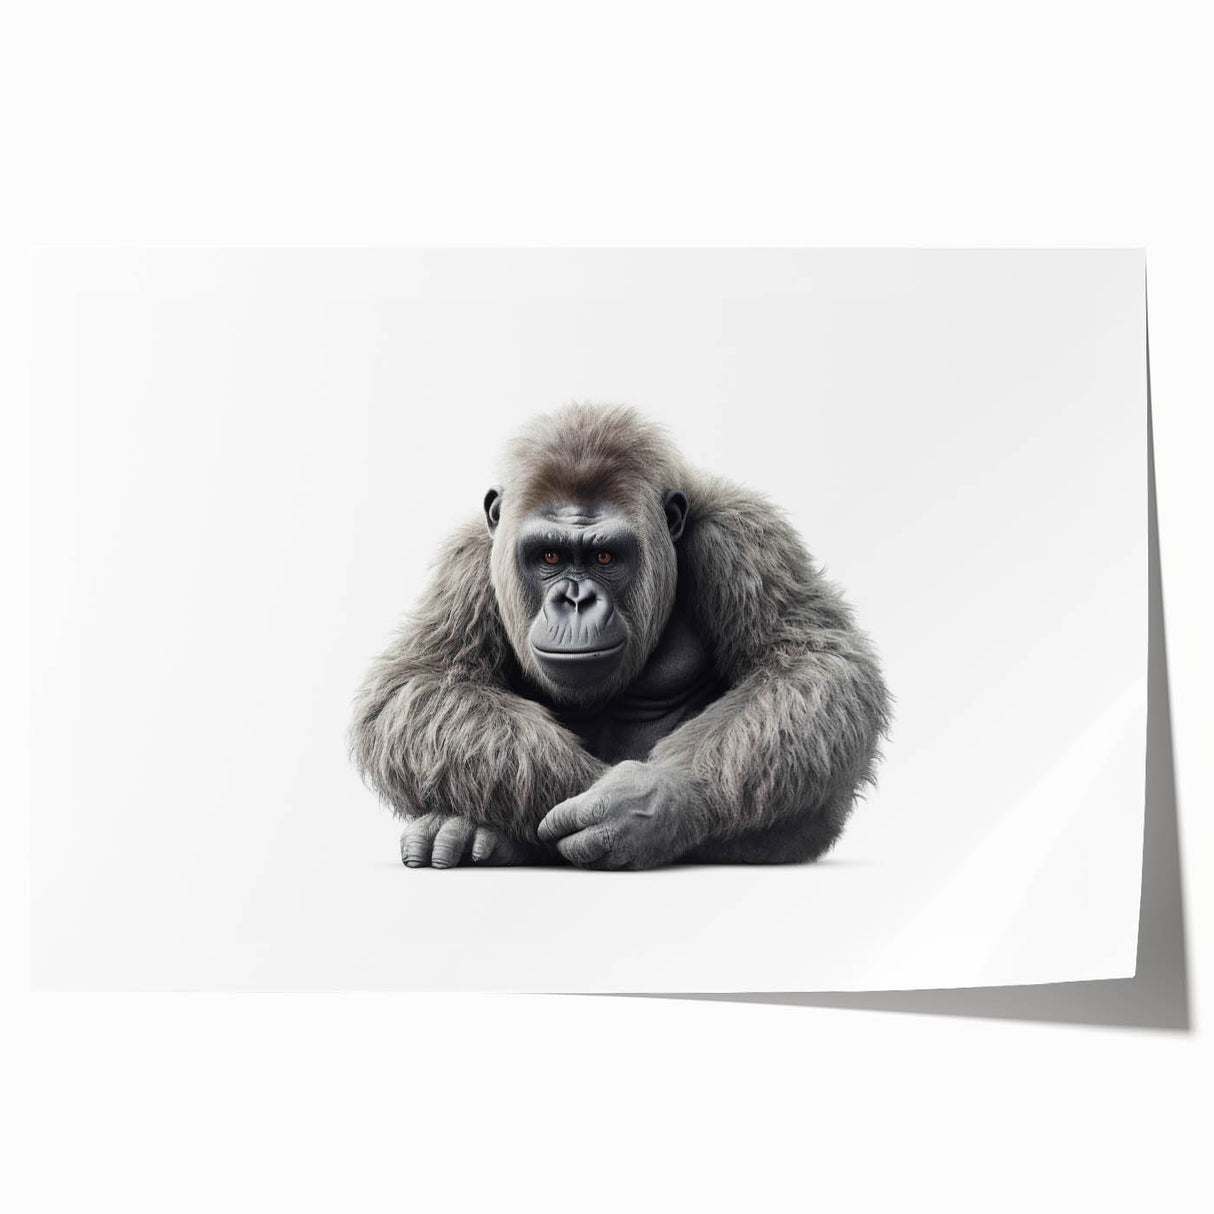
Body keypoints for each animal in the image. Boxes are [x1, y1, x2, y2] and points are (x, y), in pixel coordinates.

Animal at [350, 404, 890, 870]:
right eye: (549, 556)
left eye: (605, 557)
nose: (575, 599)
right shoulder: (468, 559)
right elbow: (423, 682)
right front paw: (572, 795)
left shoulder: (743, 535)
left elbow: (809, 662)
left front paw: (652, 801)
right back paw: (466, 832)